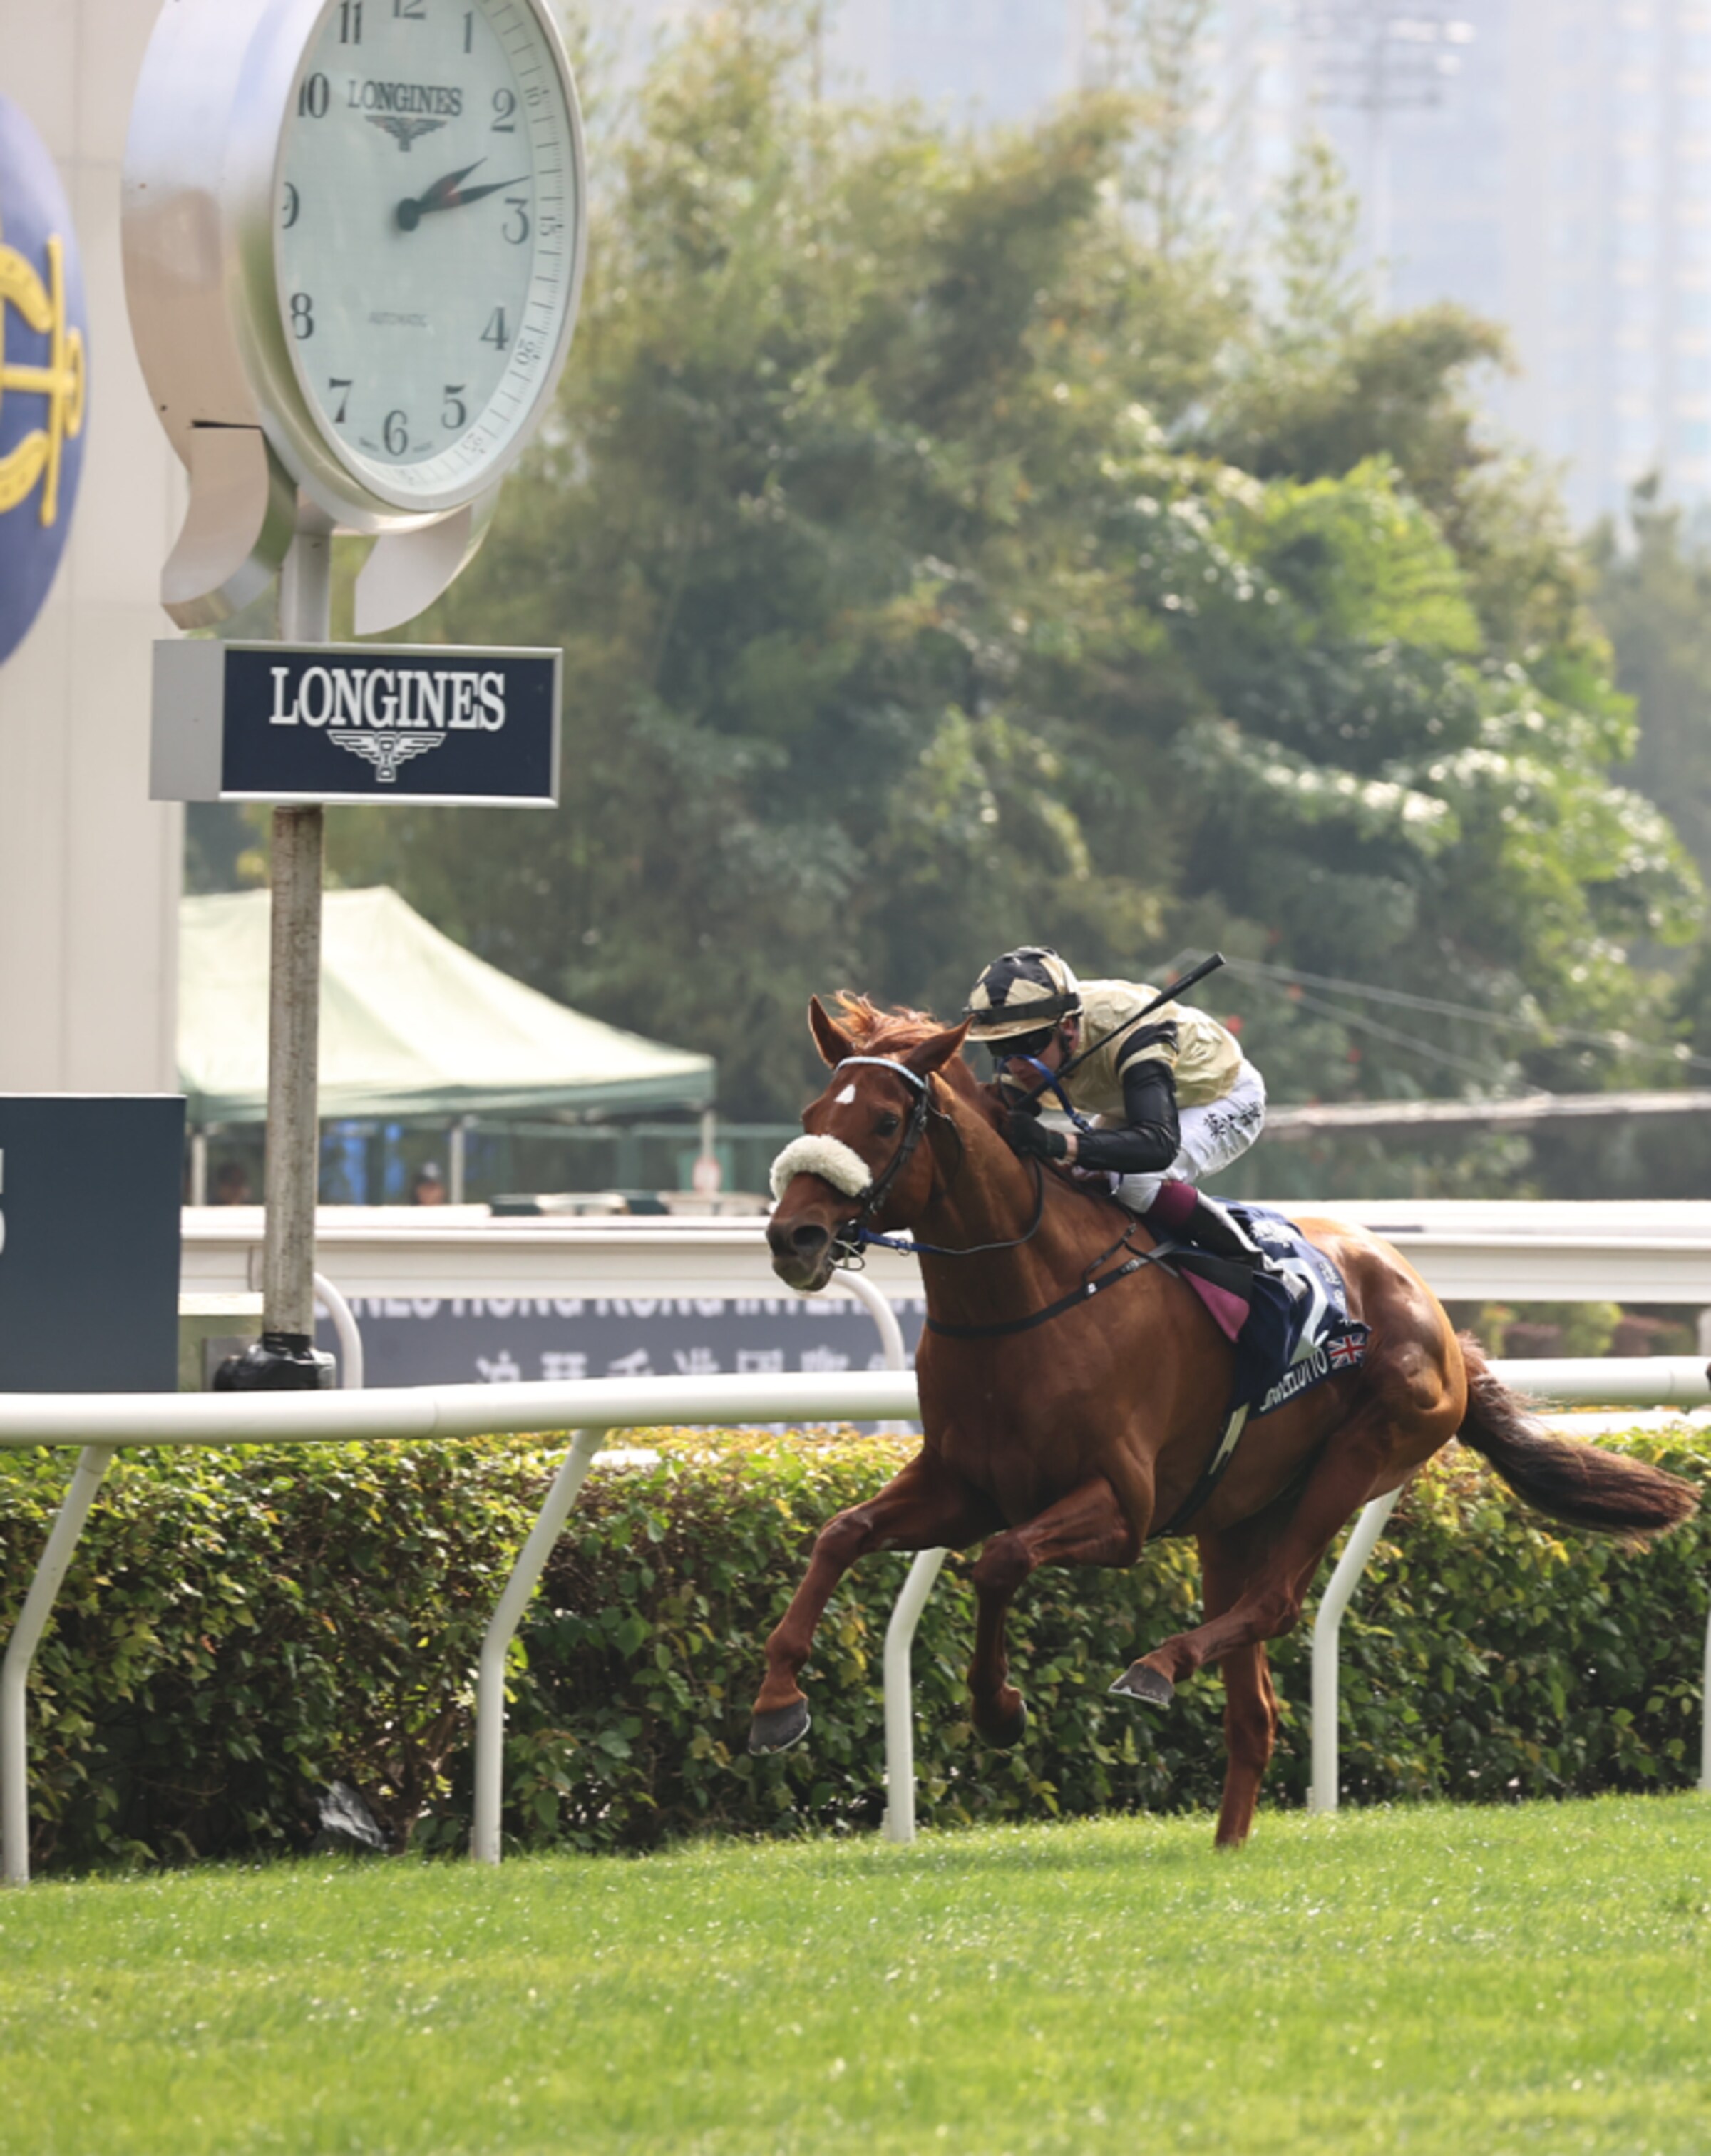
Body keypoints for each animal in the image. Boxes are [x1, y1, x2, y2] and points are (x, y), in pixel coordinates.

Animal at [749, 1000, 1689, 1845]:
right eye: (811, 1117)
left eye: (883, 1120)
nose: (794, 1237)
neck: (1023, 1299)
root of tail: (1438, 1317)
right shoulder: (963, 1483)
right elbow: (841, 1533)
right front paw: (777, 1703)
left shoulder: (1120, 1509)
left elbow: (1000, 1562)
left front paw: (999, 1708)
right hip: (1233, 1518)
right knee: (1255, 1709)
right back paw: (1226, 1842)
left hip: (1361, 1456)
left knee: (1274, 1604)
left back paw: (1158, 1666)